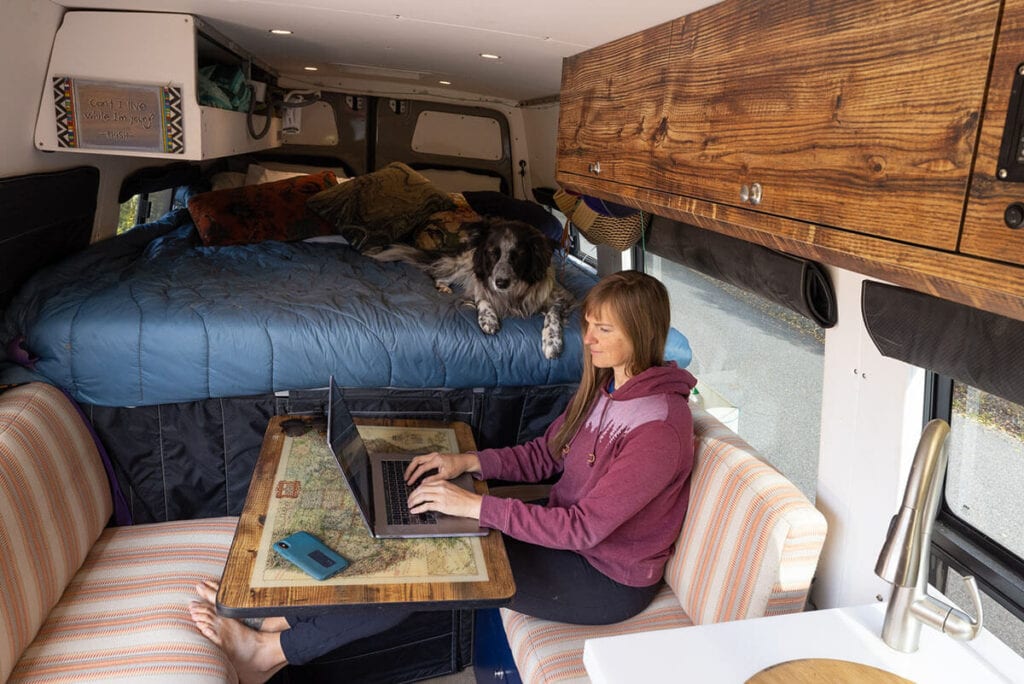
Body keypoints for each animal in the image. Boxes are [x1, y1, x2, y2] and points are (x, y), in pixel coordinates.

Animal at [370, 219, 577, 360]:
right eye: (492, 253)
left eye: (518, 255)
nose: (501, 283)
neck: (511, 294)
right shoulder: (480, 283)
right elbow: (483, 298)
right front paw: (488, 318)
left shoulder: (560, 296)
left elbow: (553, 314)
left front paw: (552, 341)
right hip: (465, 265)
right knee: (439, 275)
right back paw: (443, 287)